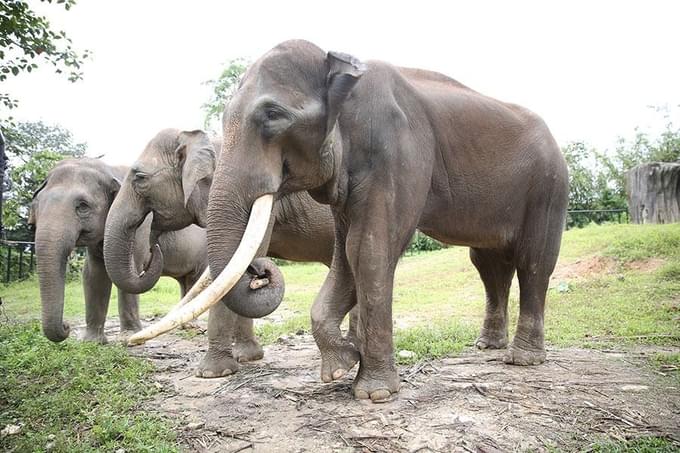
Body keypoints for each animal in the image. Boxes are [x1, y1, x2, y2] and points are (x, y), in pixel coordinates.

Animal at [29, 158, 205, 342]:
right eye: (37, 204)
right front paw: (92, 341)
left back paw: (193, 327)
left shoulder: (141, 225)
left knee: (195, 278)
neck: (109, 168)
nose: (66, 326)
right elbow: (93, 273)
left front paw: (128, 336)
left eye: (83, 206)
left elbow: (132, 268)